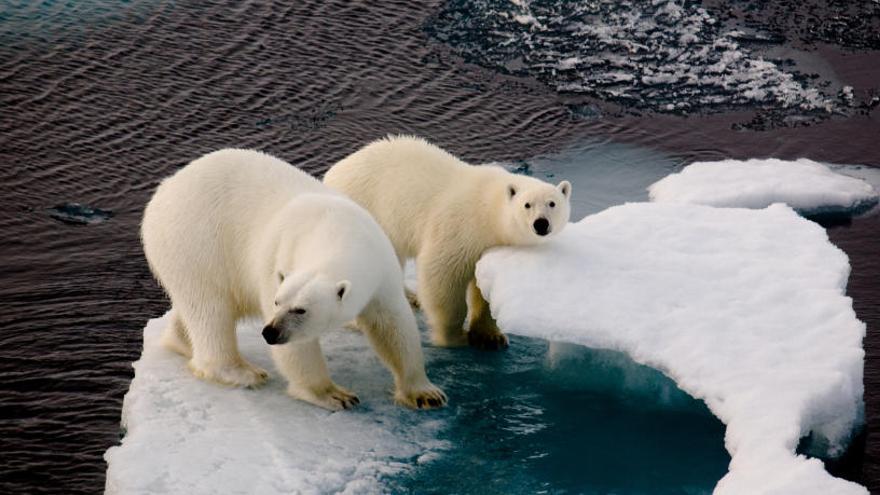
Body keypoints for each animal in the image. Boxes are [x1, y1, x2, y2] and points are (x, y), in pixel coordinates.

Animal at [145, 149, 450, 412]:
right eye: (277, 302)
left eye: (300, 309)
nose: (270, 332)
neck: (337, 230)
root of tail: (163, 191)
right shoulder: (280, 257)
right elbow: (299, 350)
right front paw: (334, 394)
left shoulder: (380, 267)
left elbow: (393, 325)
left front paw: (425, 393)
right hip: (196, 241)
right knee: (210, 309)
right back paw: (243, 372)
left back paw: (181, 341)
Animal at [324, 136, 572, 350]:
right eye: (527, 204)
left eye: (552, 203)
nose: (541, 224)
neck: (488, 208)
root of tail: (331, 174)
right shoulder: (459, 228)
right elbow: (442, 277)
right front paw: (454, 337)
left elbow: (484, 287)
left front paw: (491, 337)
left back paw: (410, 298)